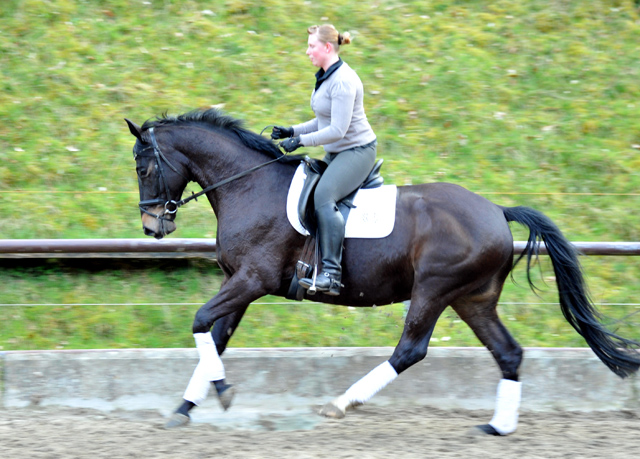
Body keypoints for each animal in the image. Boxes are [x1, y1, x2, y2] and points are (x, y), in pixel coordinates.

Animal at [126, 108, 640, 434]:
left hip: (434, 289)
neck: (249, 186)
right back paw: (498, 427)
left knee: (410, 350)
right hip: (472, 298)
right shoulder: (240, 282)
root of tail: (497, 210)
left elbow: (200, 322)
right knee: (508, 353)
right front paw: (186, 407)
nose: (153, 227)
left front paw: (221, 394)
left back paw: (340, 404)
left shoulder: (252, 280)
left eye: (144, 167)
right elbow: (215, 338)